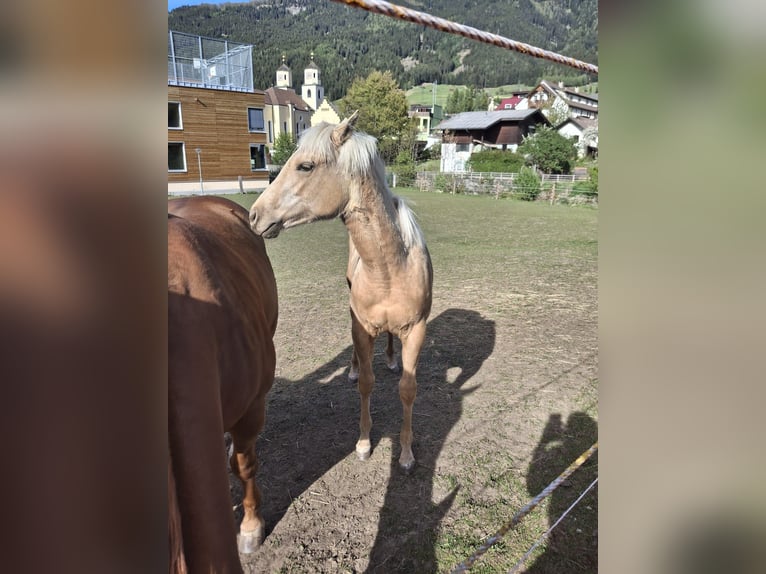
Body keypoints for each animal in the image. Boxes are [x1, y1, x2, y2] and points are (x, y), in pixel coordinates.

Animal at [249, 111, 433, 472]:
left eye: (305, 166)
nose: (254, 214)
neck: (390, 269)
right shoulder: (362, 328)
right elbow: (366, 384)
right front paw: (363, 443)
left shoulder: (416, 330)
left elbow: (408, 388)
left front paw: (406, 454)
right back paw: (352, 367)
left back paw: (391, 360)